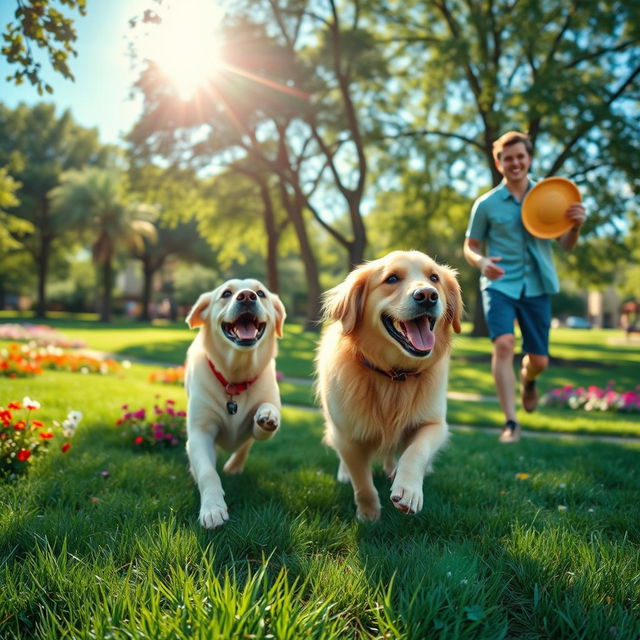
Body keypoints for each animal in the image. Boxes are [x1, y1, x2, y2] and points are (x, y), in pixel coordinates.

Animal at [185, 278, 284, 528]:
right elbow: (208, 472)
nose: (247, 296)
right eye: (226, 293)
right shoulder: (200, 433)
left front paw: (268, 415)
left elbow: (261, 424)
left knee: (244, 445)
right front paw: (212, 508)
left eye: (261, 293)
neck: (235, 379)